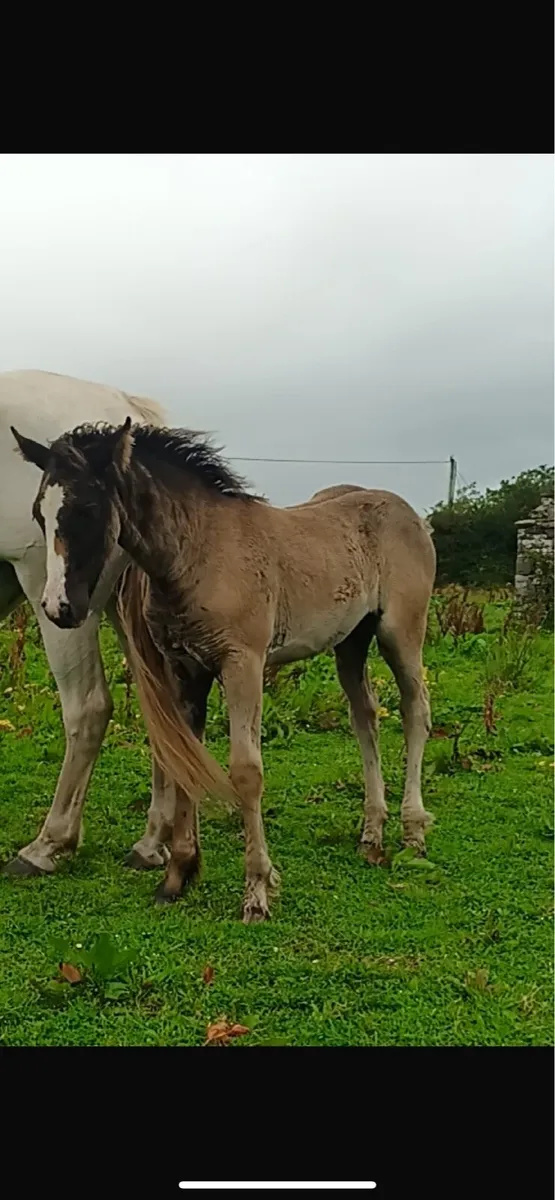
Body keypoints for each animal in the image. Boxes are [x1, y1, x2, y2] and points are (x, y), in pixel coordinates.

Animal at [11, 417, 436, 923]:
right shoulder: (186, 671)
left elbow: (246, 772)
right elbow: (186, 764)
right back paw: (371, 835)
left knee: (415, 710)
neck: (199, 551)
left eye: (89, 508)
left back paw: (413, 832)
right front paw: (177, 876)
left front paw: (257, 891)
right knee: (365, 717)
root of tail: (411, 513)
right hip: (351, 641)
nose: (59, 608)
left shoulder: (242, 665)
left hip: (400, 632)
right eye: (39, 513)